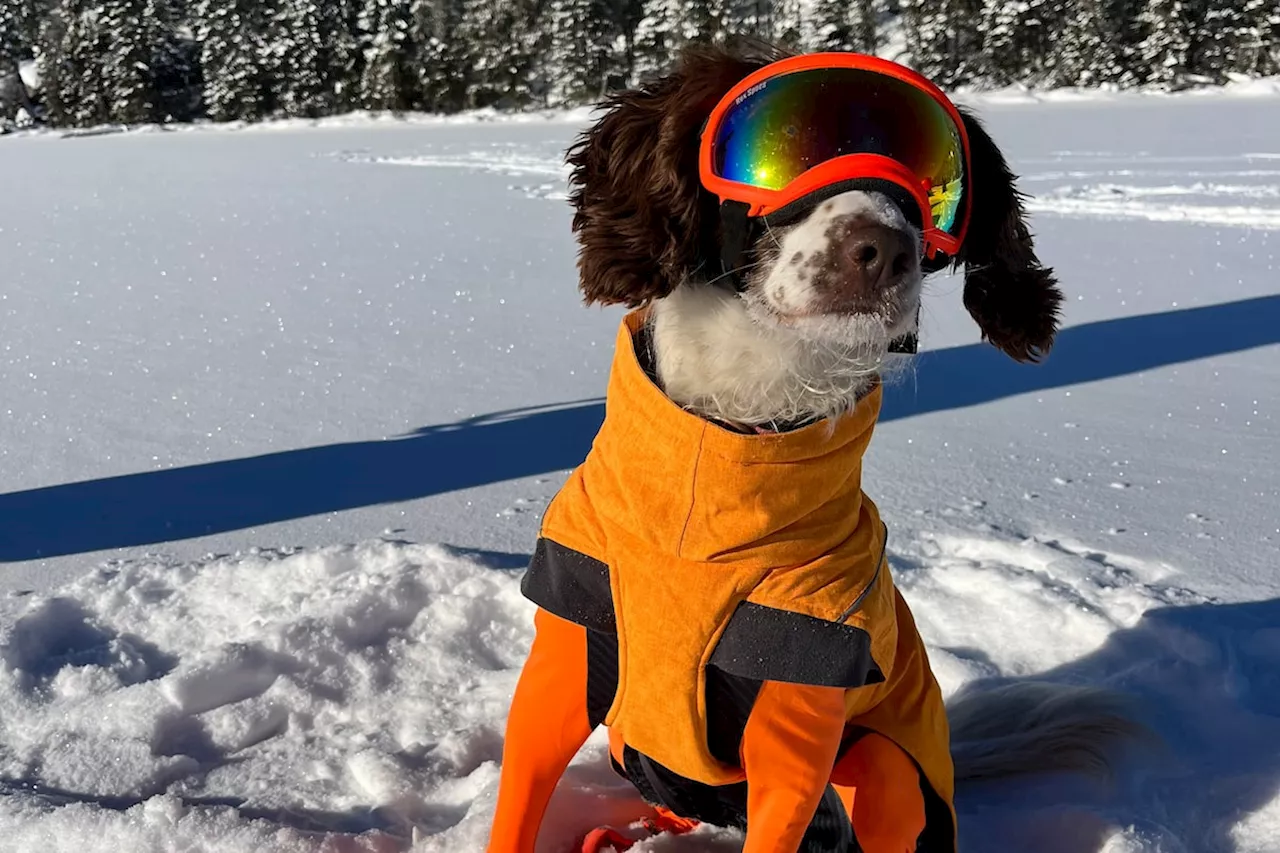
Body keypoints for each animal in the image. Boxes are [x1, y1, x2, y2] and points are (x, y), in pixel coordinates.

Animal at [481, 41, 1141, 853]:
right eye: (783, 148)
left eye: (931, 182)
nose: (883, 250)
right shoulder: (568, 651)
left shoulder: (797, 716)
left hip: (885, 768)